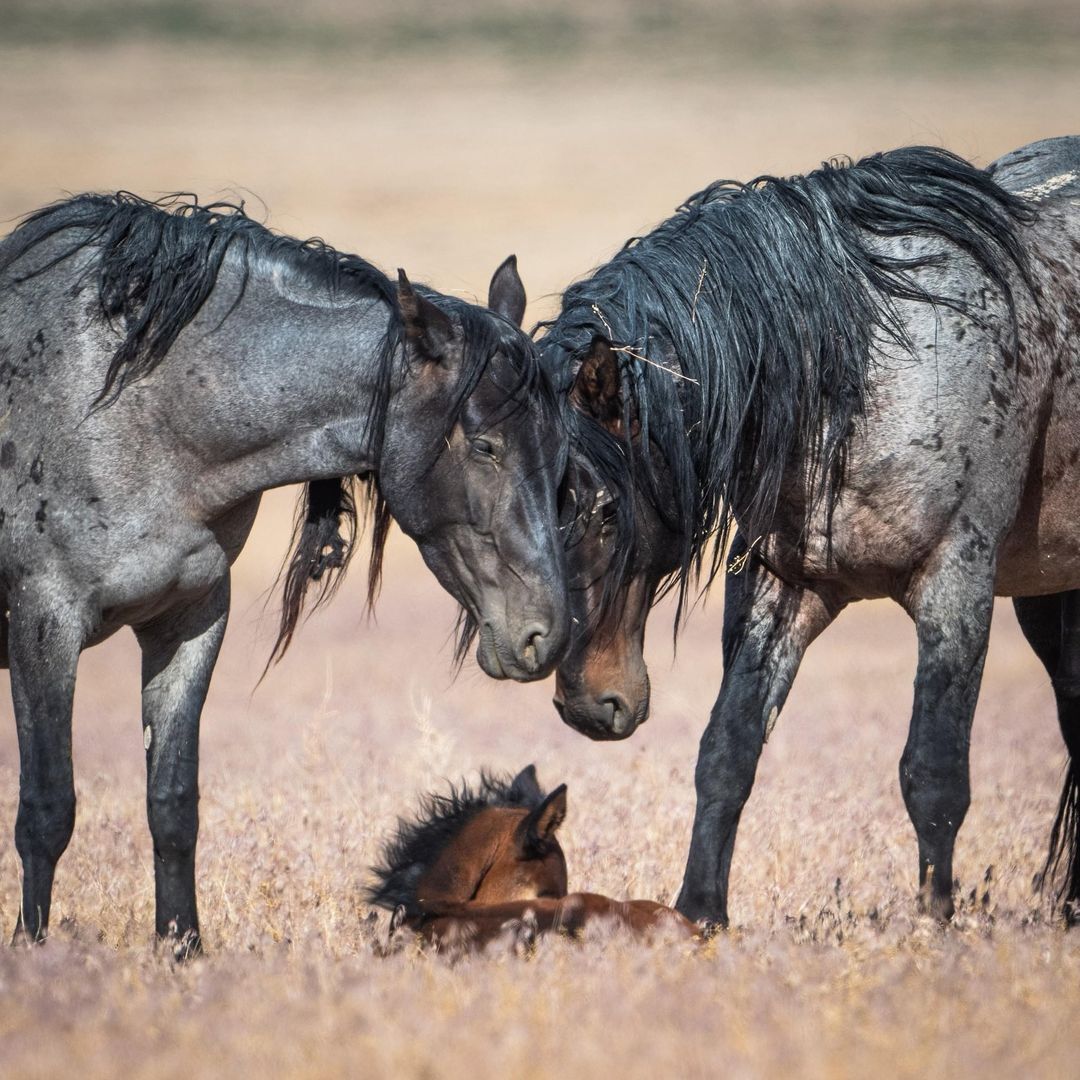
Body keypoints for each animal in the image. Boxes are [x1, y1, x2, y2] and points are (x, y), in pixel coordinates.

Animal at [0, 194, 574, 954]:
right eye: (484, 445)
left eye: (561, 449)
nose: (547, 635)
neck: (126, 405)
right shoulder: (45, 624)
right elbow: (46, 810)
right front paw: (31, 952)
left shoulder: (188, 621)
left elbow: (172, 805)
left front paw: (182, 949)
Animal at [544, 135, 1080, 928]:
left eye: (605, 510)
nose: (590, 703)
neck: (867, 368)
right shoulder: (784, 587)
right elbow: (727, 752)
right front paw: (698, 915)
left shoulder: (956, 583)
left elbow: (934, 770)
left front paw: (934, 923)